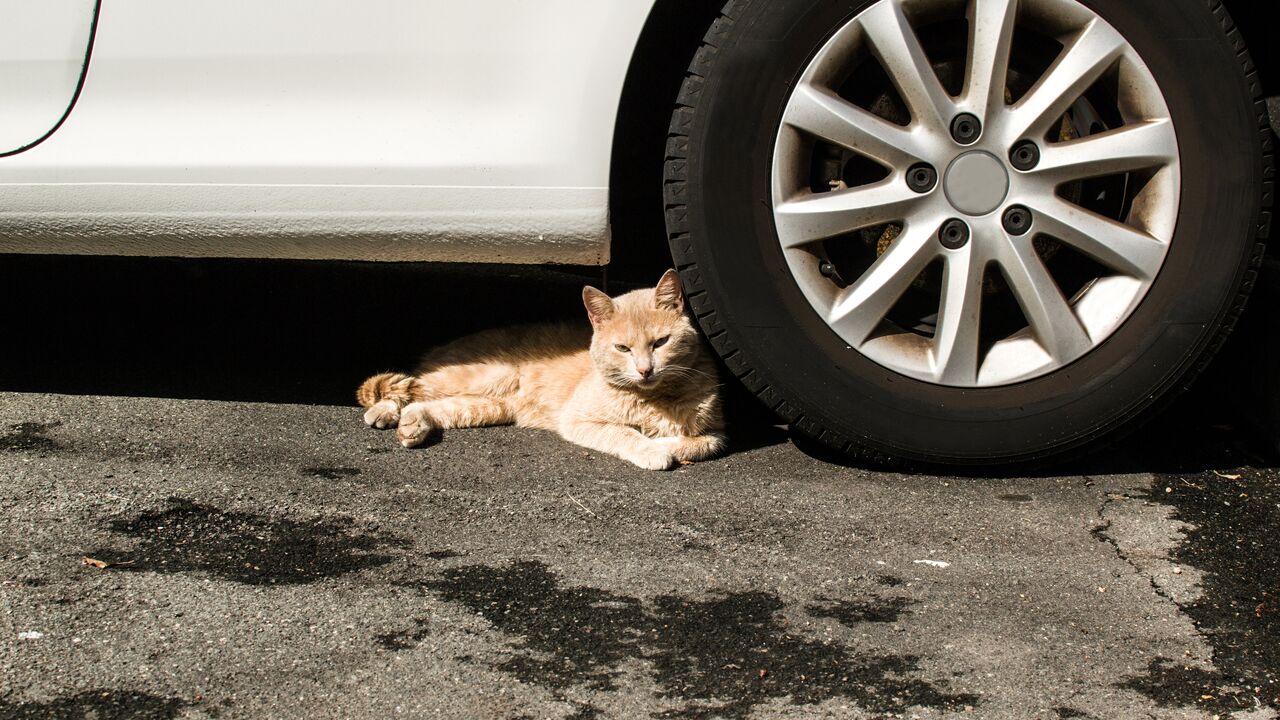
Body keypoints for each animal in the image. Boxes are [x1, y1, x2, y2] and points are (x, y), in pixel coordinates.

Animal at [355, 267, 727, 466]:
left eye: (660, 342)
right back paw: (385, 412)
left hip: (489, 407)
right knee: (408, 386)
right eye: (622, 348)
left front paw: (664, 442)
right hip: (482, 377)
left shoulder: (717, 432)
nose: (645, 370)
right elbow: (624, 433)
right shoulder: (578, 420)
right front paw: (653, 449)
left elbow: (701, 443)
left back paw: (412, 425)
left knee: (428, 405)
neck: (654, 398)